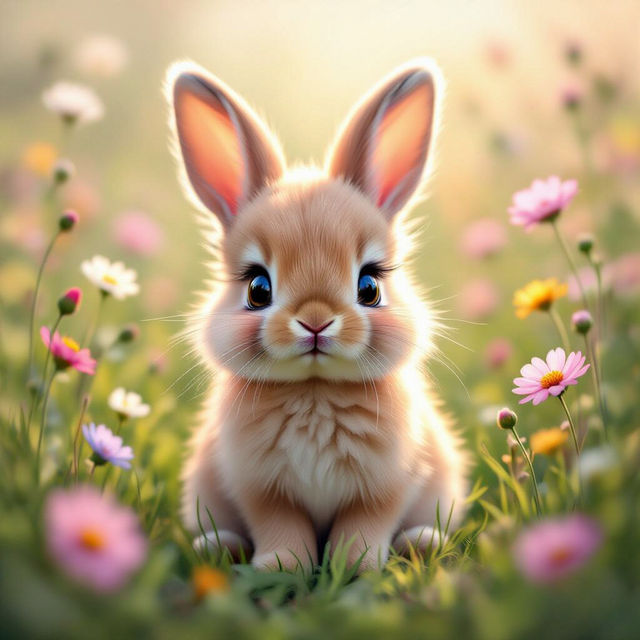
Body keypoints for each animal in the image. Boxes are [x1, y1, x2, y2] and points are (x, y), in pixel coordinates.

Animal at [165, 57, 468, 572]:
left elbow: (364, 525)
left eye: (370, 287)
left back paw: (422, 542)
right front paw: (281, 567)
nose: (315, 321)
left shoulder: (386, 487)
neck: (315, 390)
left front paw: (355, 566)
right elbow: (282, 528)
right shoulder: (261, 490)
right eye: (257, 288)